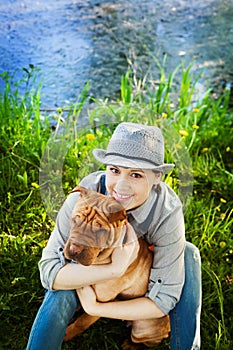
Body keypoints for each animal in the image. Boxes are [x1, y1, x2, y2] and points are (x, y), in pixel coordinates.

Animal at [62, 186, 170, 348]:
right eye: (75, 220)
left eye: (100, 230)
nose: (74, 250)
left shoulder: (99, 304)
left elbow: (82, 322)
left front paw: (67, 334)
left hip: (144, 329)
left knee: (141, 341)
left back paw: (129, 345)